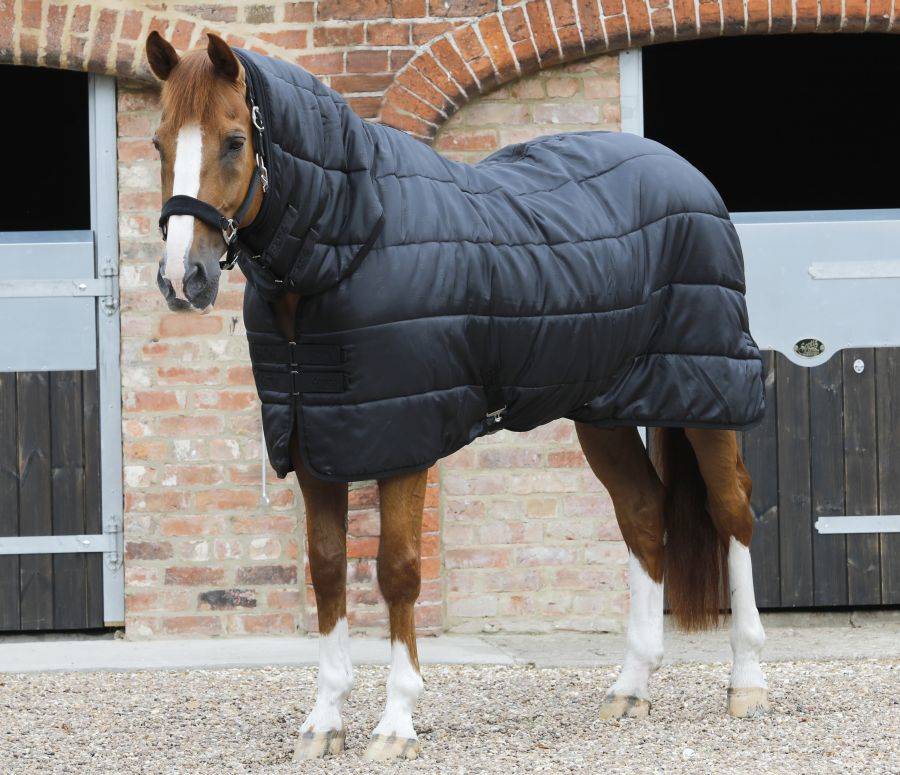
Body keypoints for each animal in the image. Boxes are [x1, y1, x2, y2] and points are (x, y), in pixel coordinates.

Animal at [145, 31, 770, 762]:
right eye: (159, 141)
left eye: (235, 140)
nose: (181, 279)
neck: (352, 241)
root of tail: (685, 174)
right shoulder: (312, 443)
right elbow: (327, 569)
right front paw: (325, 720)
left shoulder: (404, 444)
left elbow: (397, 570)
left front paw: (395, 722)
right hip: (602, 410)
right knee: (645, 513)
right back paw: (630, 687)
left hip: (709, 391)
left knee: (732, 512)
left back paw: (747, 682)